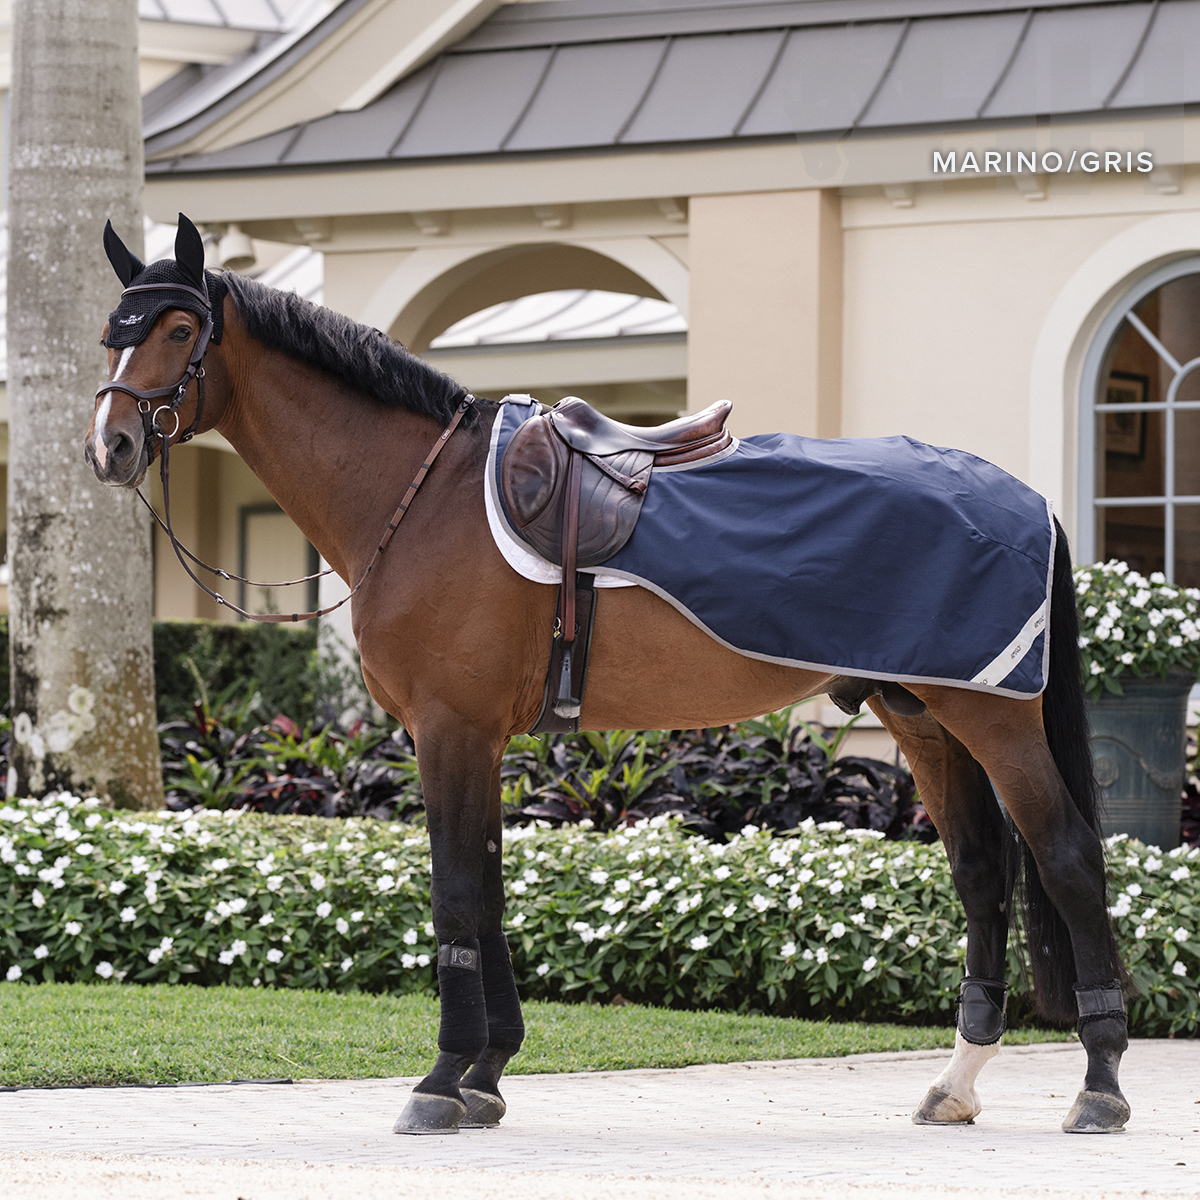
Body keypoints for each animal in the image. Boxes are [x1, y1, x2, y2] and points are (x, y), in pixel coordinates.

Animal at [83, 215, 1130, 1137]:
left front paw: (441, 1080)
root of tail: (1024, 497)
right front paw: (486, 1075)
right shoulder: (476, 740)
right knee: (982, 874)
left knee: (1068, 858)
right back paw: (957, 1083)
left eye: (178, 329)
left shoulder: (449, 730)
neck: (423, 497)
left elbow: (455, 895)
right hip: (921, 717)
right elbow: (488, 891)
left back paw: (1101, 1086)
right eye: (111, 330)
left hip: (992, 718)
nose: (112, 446)